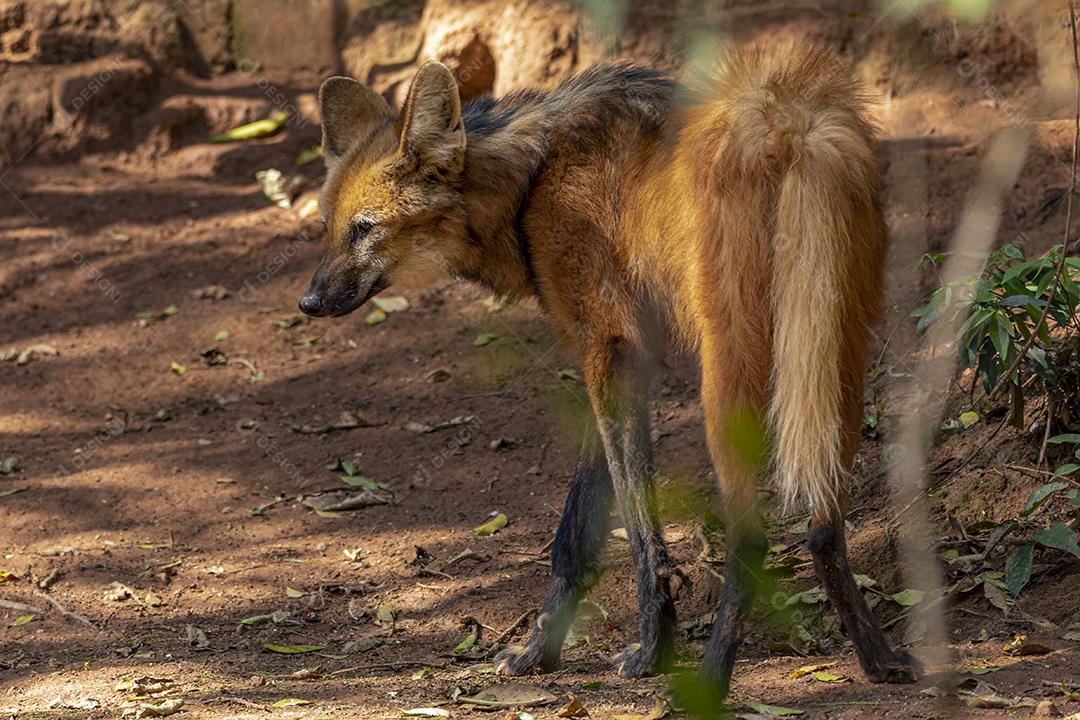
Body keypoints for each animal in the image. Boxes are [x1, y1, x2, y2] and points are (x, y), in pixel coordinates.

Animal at [298, 42, 920, 693]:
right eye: (330, 230)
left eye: (365, 230)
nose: (309, 303)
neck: (526, 186)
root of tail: (791, 125)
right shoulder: (626, 355)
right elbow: (578, 527)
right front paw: (540, 652)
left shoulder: (609, 346)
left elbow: (637, 527)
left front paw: (648, 652)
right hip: (837, 350)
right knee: (825, 525)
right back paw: (879, 658)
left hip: (728, 374)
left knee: (750, 536)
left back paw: (710, 680)